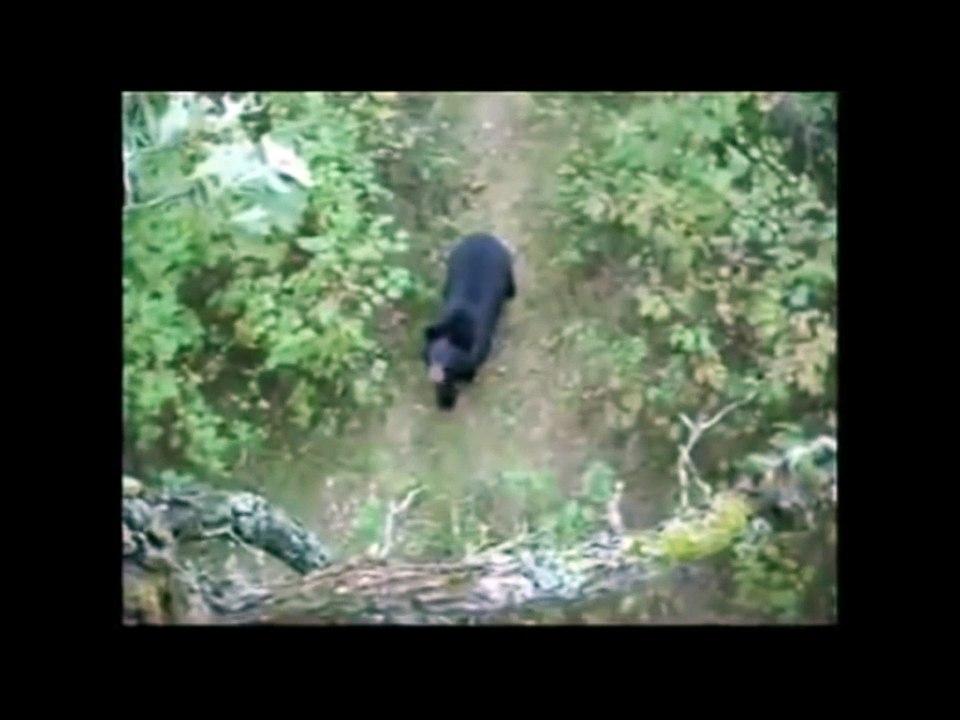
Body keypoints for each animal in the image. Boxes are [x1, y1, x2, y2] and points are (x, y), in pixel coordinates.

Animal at [422, 233, 516, 410]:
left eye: (446, 363)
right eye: (432, 358)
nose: (434, 377)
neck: (454, 327)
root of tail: (483, 235)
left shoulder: (479, 345)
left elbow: (474, 363)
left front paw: (468, 377)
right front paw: (445, 400)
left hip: (505, 268)